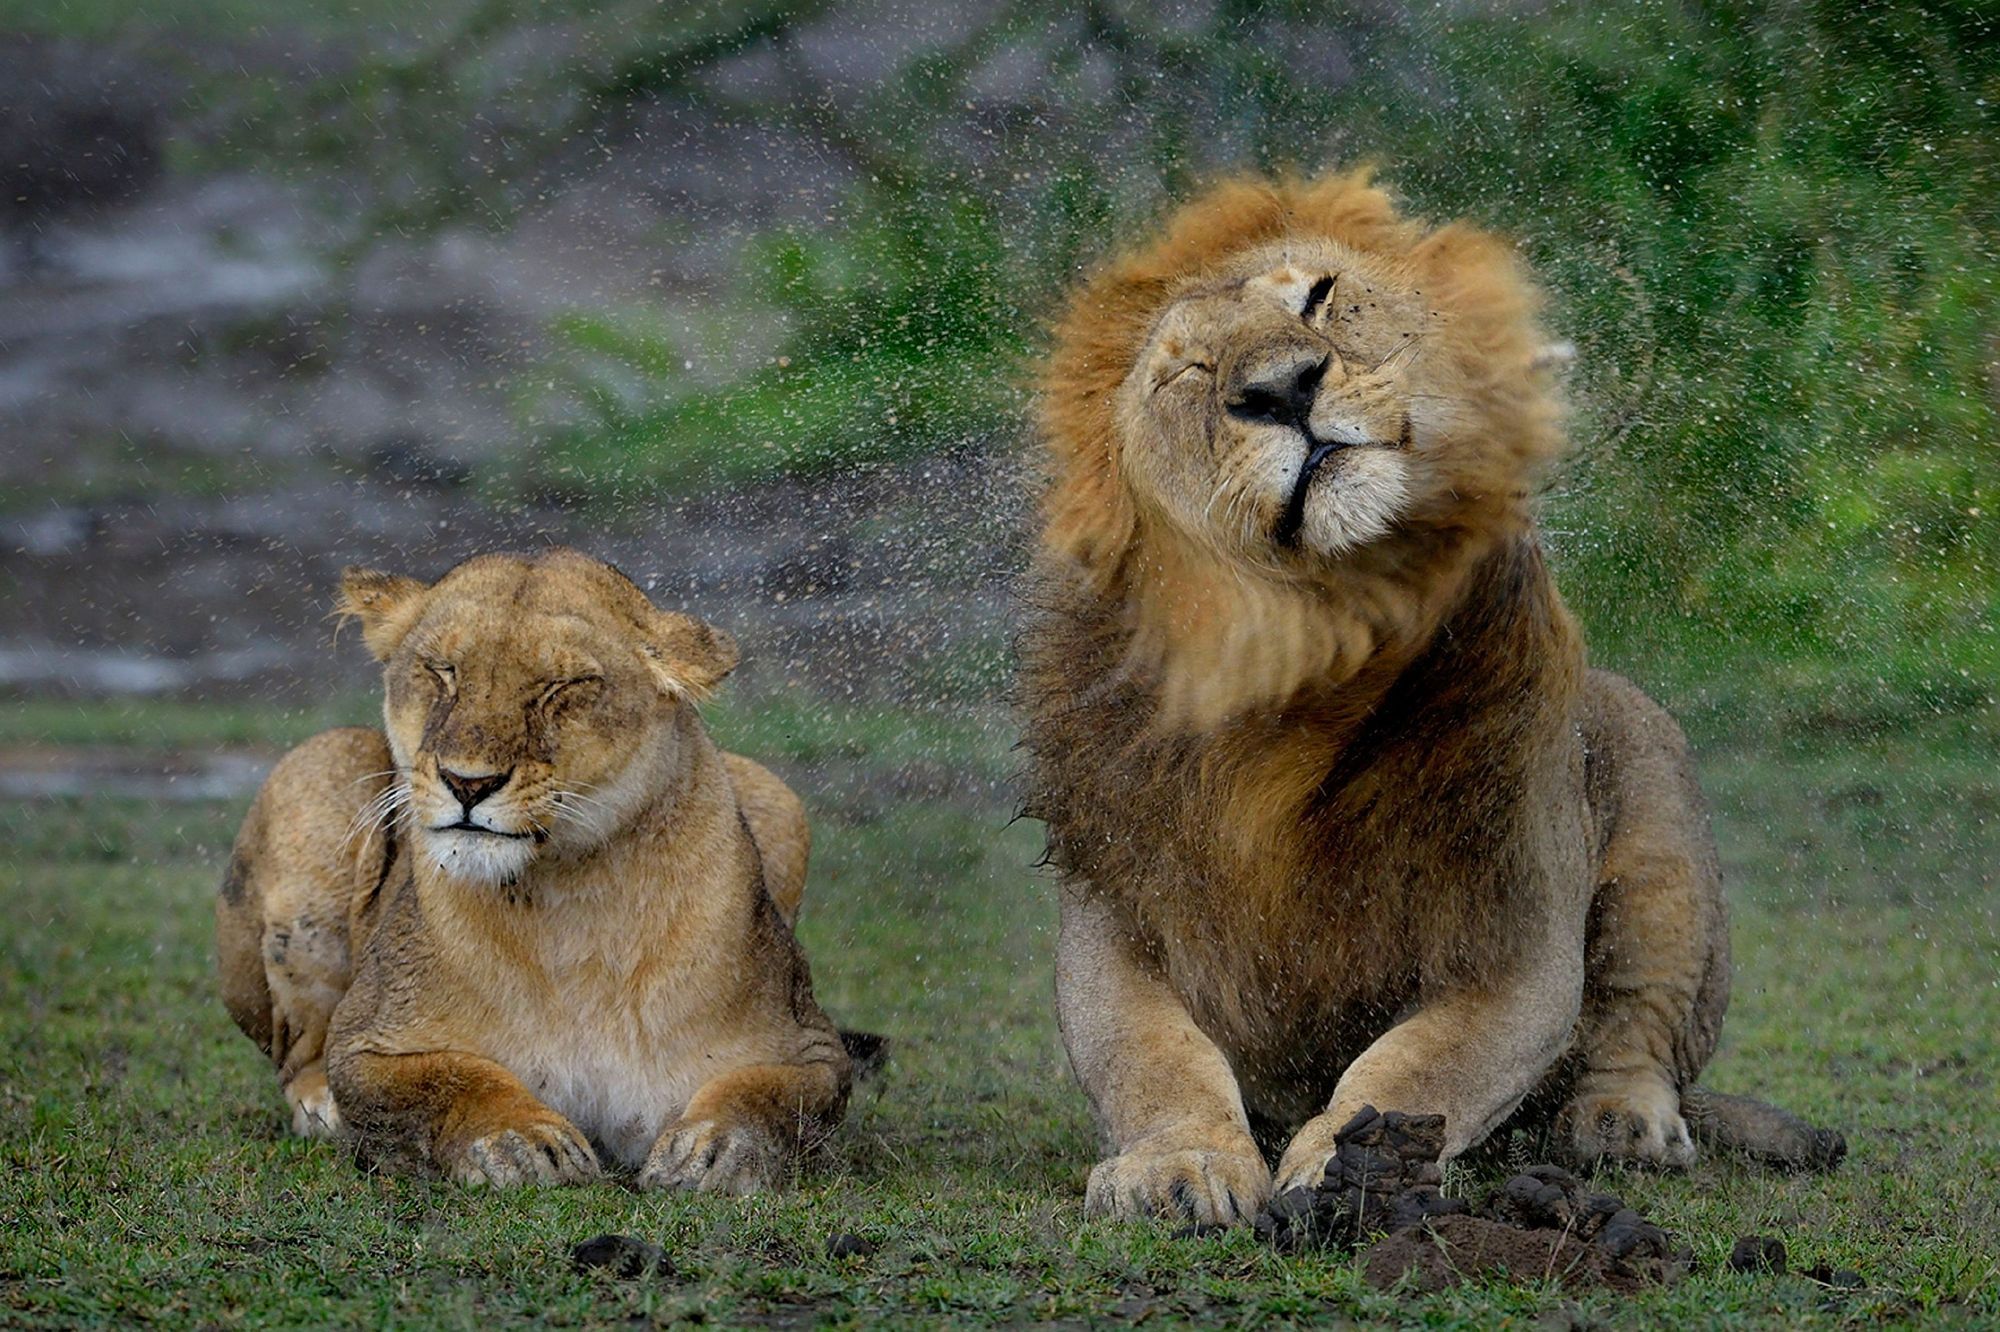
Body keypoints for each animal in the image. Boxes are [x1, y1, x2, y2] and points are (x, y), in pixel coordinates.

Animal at [215, 544, 848, 1184]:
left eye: (563, 685)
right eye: (442, 670)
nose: (468, 783)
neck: (574, 897)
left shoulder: (808, 1044)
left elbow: (771, 1096)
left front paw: (713, 1151)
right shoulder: (369, 1038)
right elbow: (450, 1081)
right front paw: (521, 1140)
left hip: (774, 793)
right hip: (319, 765)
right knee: (297, 1057)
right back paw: (323, 1110)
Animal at [1032, 171, 1840, 1216]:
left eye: (1318, 297)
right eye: (1190, 372)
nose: (1281, 388)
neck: (1303, 679)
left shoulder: (1516, 930)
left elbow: (1421, 1063)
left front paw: (1355, 1164)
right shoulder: (1117, 899)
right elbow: (1151, 1054)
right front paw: (1181, 1166)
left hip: (1663, 835)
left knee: (1637, 1029)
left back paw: (1621, 1126)